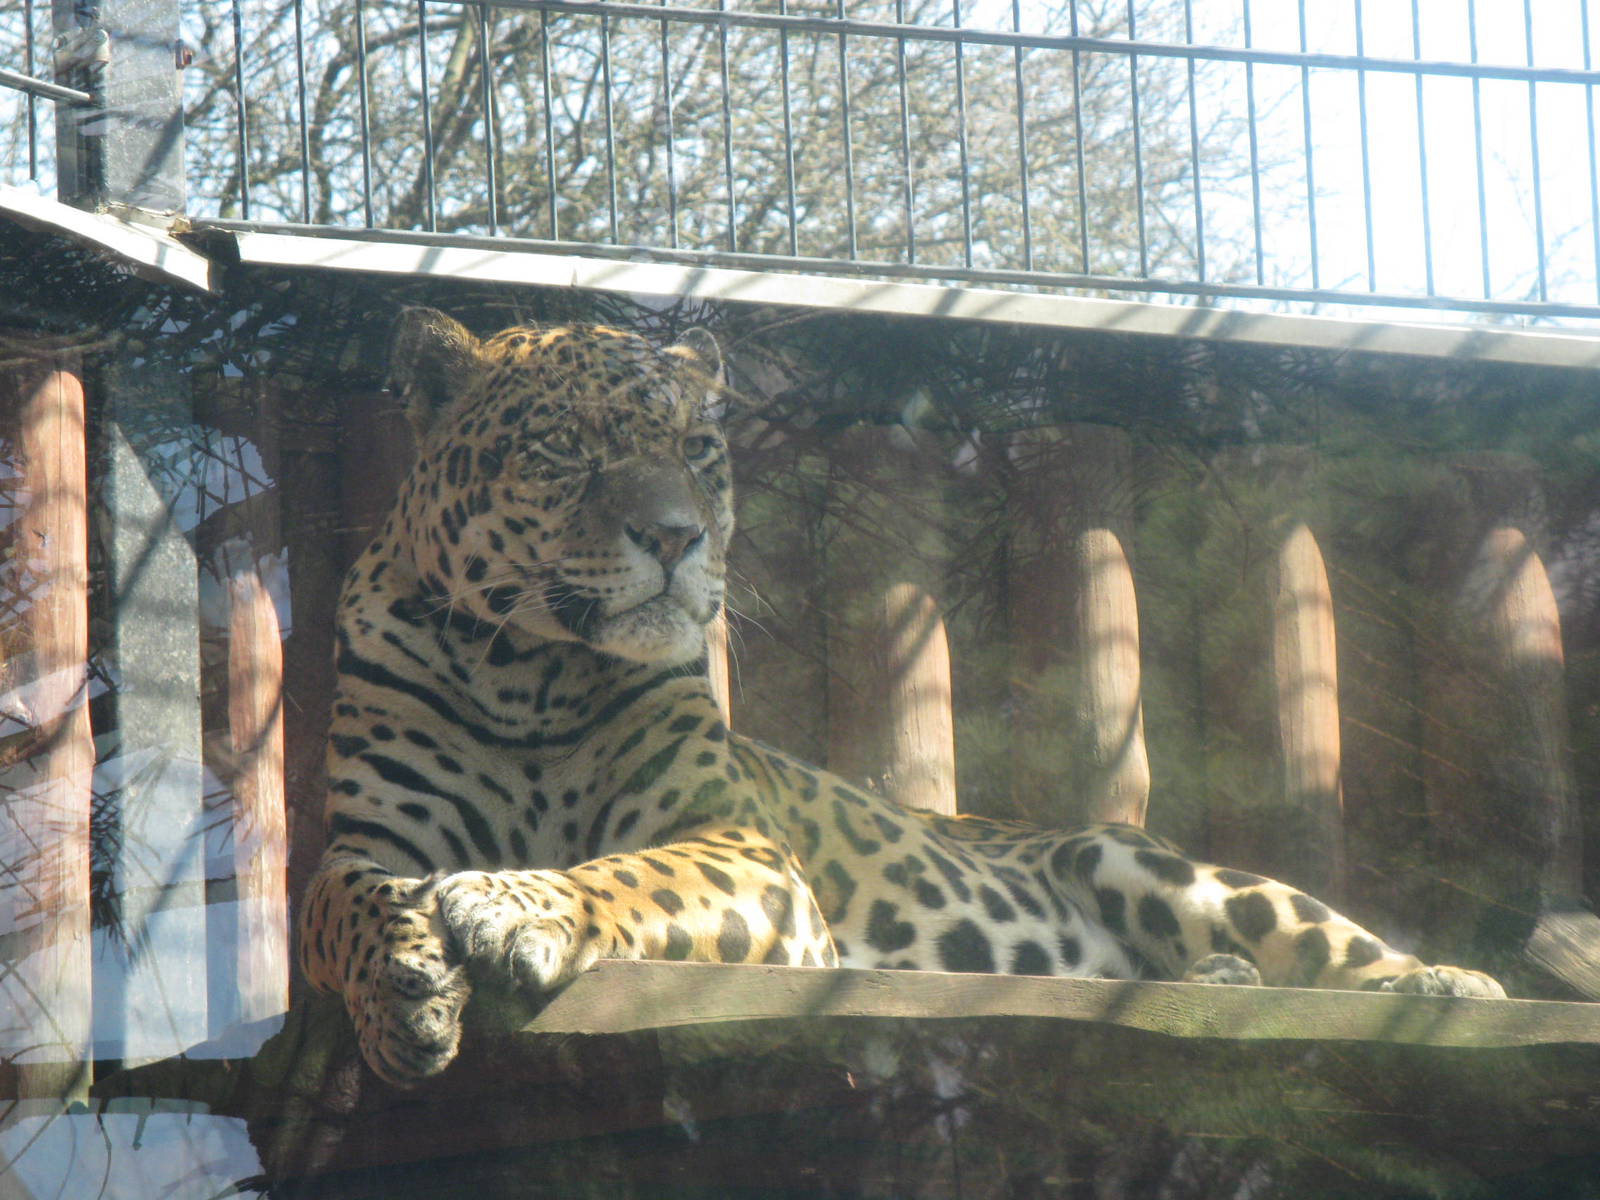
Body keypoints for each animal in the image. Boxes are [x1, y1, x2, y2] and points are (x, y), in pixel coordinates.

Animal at [299, 307, 1506, 1086]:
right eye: (561, 445)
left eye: (697, 448)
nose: (677, 537)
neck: (532, 678)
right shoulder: (365, 843)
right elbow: (340, 905)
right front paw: (406, 981)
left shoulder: (746, 847)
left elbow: (624, 872)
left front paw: (511, 905)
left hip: (1150, 863)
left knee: (1334, 946)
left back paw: (1442, 990)